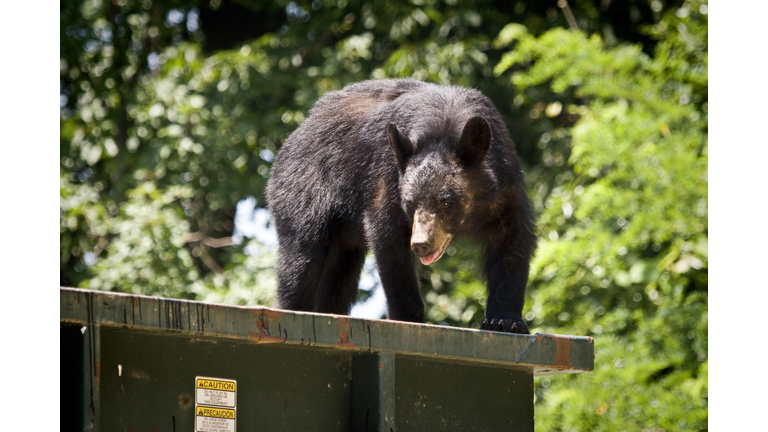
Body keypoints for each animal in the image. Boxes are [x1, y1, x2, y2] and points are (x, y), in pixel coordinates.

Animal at [268, 78, 536, 334]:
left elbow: (512, 240)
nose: (420, 244)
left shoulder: (506, 183)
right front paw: (409, 318)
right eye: (409, 203)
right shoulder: (388, 177)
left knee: (338, 277)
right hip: (304, 188)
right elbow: (389, 240)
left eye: (446, 201)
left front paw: (505, 321)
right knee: (304, 259)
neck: (445, 127)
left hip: (343, 237)